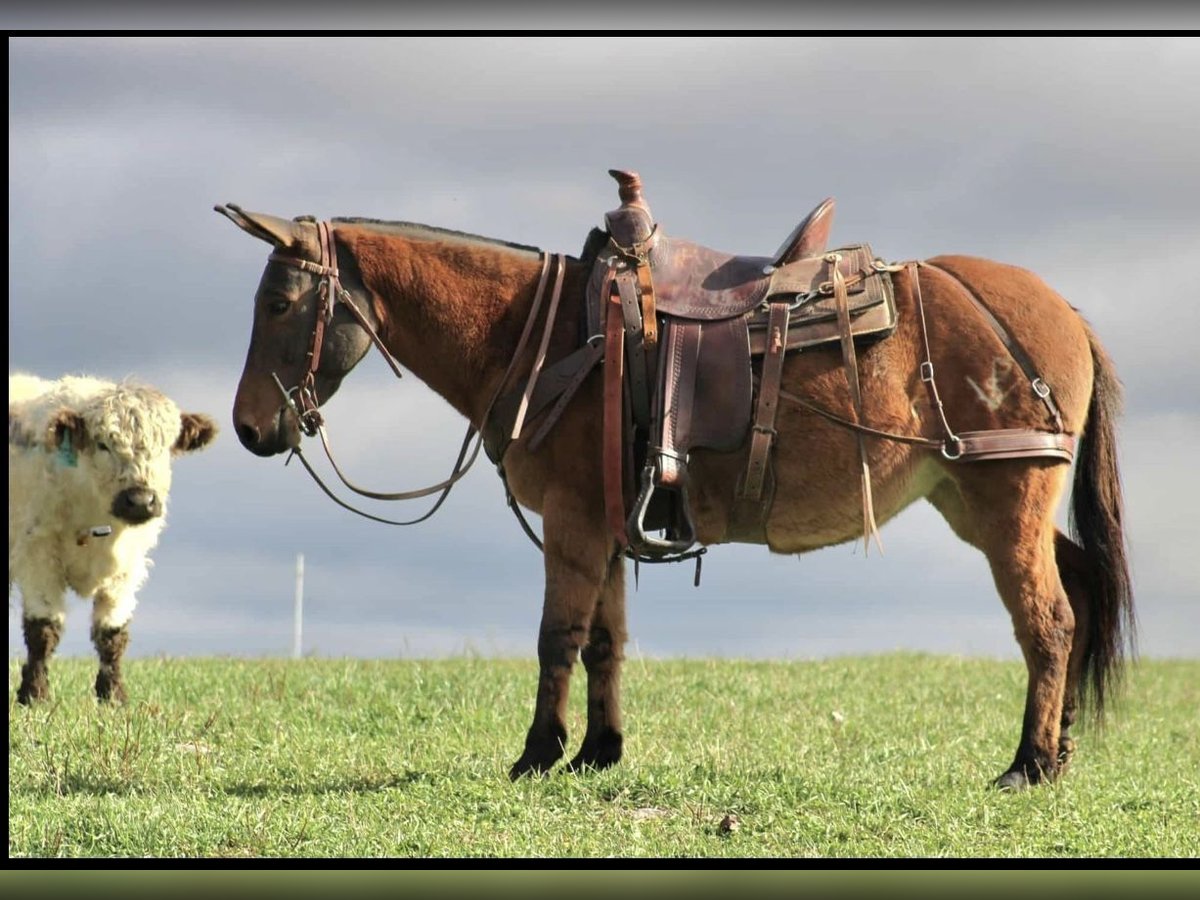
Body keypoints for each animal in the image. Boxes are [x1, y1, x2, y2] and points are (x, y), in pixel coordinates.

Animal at [215, 183, 1132, 790]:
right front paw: (598, 753)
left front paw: (537, 754)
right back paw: (1062, 748)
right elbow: (605, 642)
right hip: (983, 503)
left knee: (1047, 623)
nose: (251, 429)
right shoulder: (603, 524)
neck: (548, 337)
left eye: (281, 302)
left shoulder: (572, 523)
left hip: (1005, 503)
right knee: (1082, 594)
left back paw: (1027, 763)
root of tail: (1062, 310)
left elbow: (557, 639)